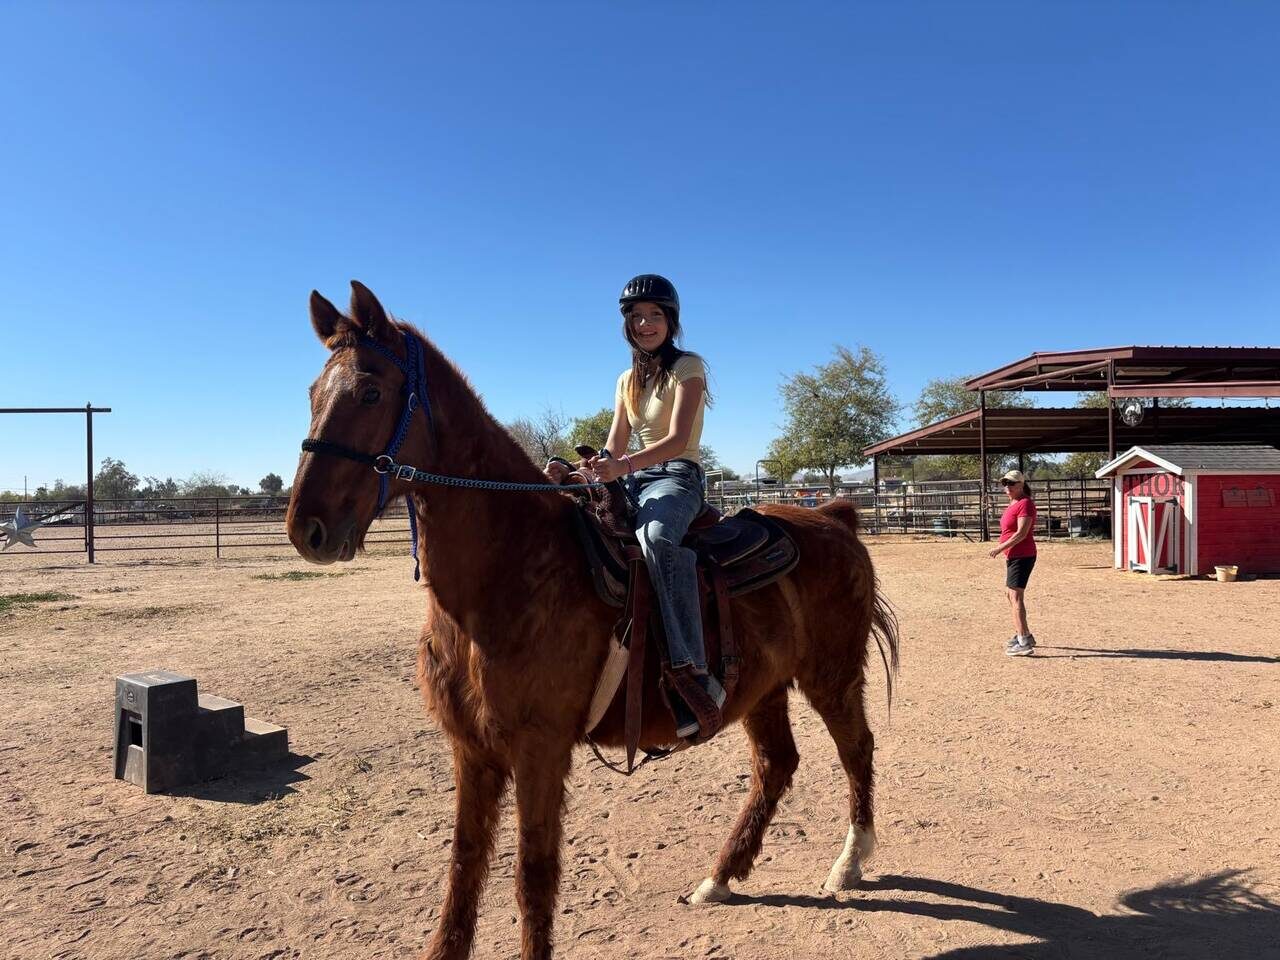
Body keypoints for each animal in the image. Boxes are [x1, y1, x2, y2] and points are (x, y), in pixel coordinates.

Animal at [286, 281, 900, 960]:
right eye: (313, 394)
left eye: (370, 391)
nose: (308, 528)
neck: (506, 572)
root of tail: (837, 516)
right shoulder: (472, 751)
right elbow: (463, 871)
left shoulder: (540, 749)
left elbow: (532, 877)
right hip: (761, 689)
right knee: (776, 765)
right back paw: (719, 876)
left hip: (832, 676)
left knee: (857, 748)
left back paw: (849, 863)